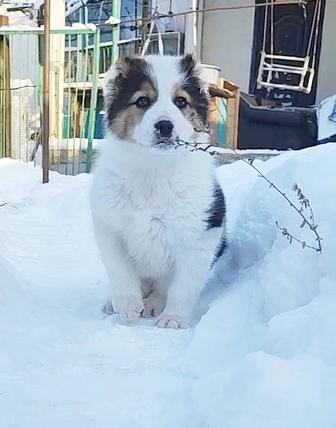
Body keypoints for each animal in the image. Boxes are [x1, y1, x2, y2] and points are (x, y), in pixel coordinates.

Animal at [90, 53, 226, 328]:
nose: (165, 126)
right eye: (142, 100)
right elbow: (122, 273)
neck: (154, 170)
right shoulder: (110, 230)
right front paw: (128, 306)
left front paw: (173, 319)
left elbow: (182, 287)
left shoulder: (202, 238)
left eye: (181, 101)